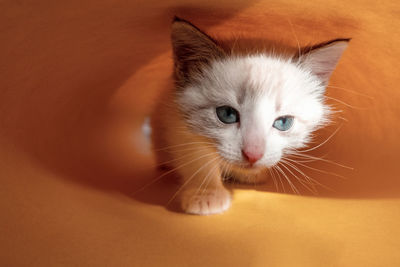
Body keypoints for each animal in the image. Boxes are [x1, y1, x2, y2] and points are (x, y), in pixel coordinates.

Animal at [151, 16, 350, 216]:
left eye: (284, 122)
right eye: (227, 114)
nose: (253, 155)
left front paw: (250, 175)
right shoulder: (176, 122)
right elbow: (198, 158)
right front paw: (206, 194)